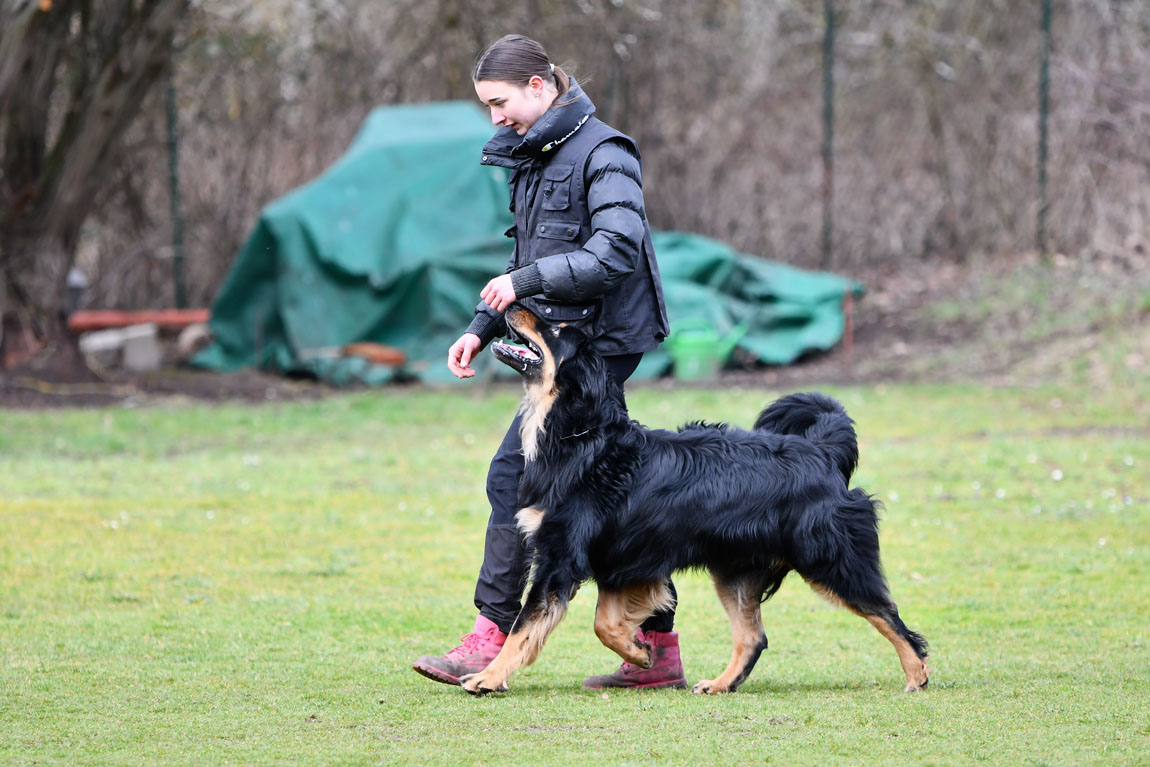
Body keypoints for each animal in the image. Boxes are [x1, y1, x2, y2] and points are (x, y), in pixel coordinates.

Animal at [462, 303, 929, 694]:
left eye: (556, 327)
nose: (508, 304)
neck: (580, 438)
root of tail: (822, 450)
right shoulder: (620, 561)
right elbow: (605, 624)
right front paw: (640, 654)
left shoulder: (561, 558)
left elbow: (525, 627)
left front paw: (488, 678)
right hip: (736, 569)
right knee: (753, 638)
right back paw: (722, 684)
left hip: (828, 558)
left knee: (889, 615)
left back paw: (916, 674)